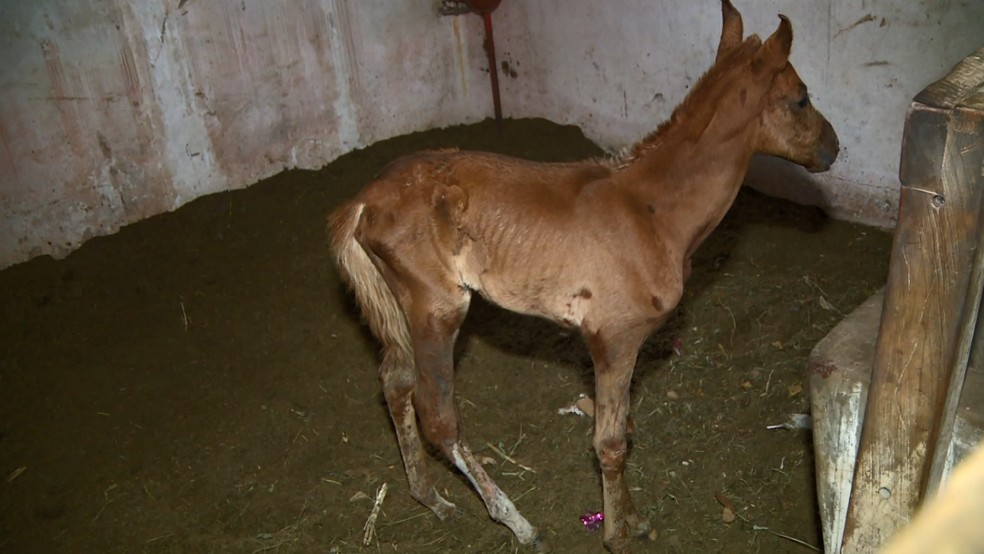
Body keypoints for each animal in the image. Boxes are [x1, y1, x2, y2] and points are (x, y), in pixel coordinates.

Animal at [326, 2, 836, 548]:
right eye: (801, 98)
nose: (834, 147)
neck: (653, 211)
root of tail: (365, 201)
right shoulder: (613, 338)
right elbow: (610, 442)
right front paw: (616, 535)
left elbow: (627, 429)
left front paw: (634, 518)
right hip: (437, 309)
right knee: (439, 419)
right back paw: (516, 521)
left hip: (396, 305)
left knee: (395, 383)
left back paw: (432, 498)